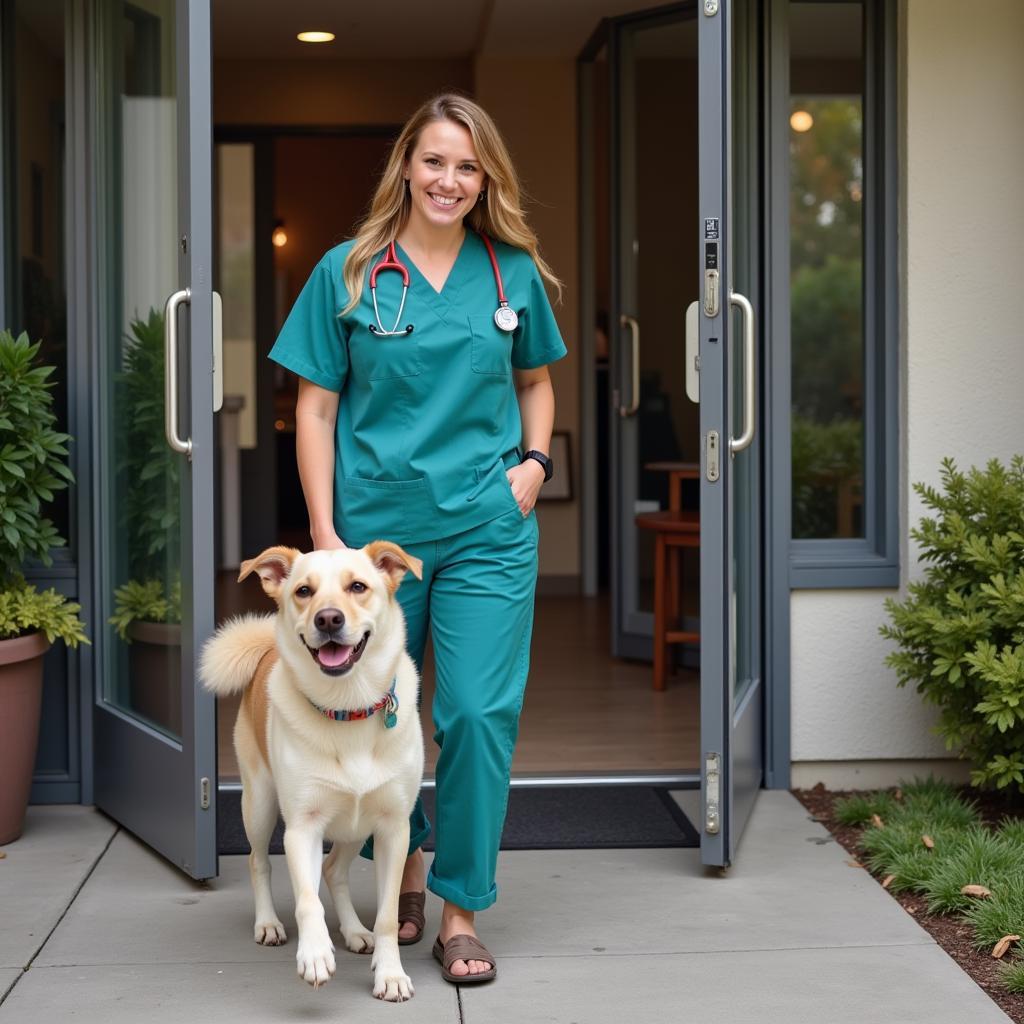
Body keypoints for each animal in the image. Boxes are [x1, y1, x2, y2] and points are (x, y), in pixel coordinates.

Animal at [197, 544, 421, 999]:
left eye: (358, 586)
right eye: (304, 591)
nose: (328, 619)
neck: (348, 706)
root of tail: (267, 648)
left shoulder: (393, 828)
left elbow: (388, 915)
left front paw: (389, 973)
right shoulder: (303, 827)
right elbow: (306, 900)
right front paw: (315, 953)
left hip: (355, 826)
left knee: (334, 871)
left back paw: (355, 931)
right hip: (259, 804)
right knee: (259, 862)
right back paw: (268, 923)